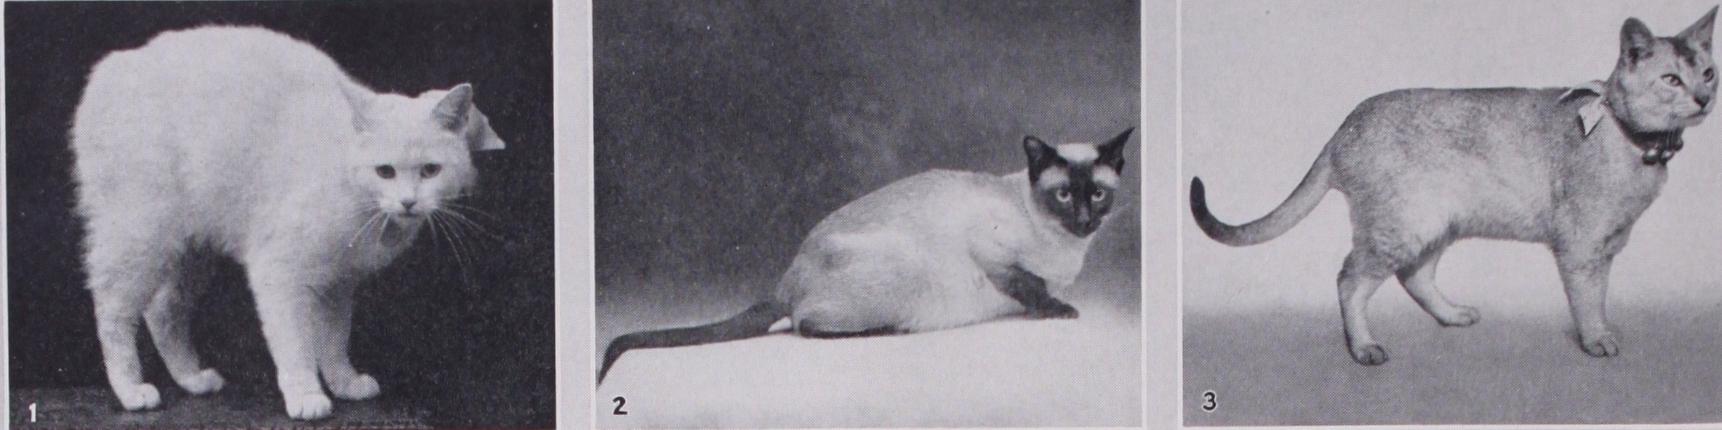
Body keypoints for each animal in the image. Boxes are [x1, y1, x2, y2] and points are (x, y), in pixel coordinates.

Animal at [71, 26, 505, 420]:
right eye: (385, 171)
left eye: (431, 170)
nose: (409, 202)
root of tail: (113, 67)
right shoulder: (279, 274)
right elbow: (296, 346)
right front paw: (307, 396)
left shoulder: (338, 284)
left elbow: (334, 340)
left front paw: (344, 383)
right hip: (139, 236)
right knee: (112, 312)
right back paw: (131, 391)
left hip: (191, 252)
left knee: (163, 311)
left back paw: (192, 379)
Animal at [599, 128, 1132, 383]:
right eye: (1063, 195)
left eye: (1097, 194)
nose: (1085, 219)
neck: (1067, 248)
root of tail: (785, 279)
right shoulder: (994, 256)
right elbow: (1031, 284)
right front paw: (1059, 310)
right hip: (905, 273)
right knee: (805, 324)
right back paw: (887, 330)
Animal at [1191, 8, 1716, 366]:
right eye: (1672, 79)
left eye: (1708, 72)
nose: (1704, 98)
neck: (1635, 144)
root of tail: (1347, 123)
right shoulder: (1582, 246)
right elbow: (1587, 301)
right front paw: (1597, 339)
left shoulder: (1607, 245)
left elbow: (1601, 295)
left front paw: (1603, 328)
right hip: (1400, 227)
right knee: (1349, 279)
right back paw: (1363, 346)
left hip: (1434, 224)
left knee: (1414, 276)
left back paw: (1450, 315)